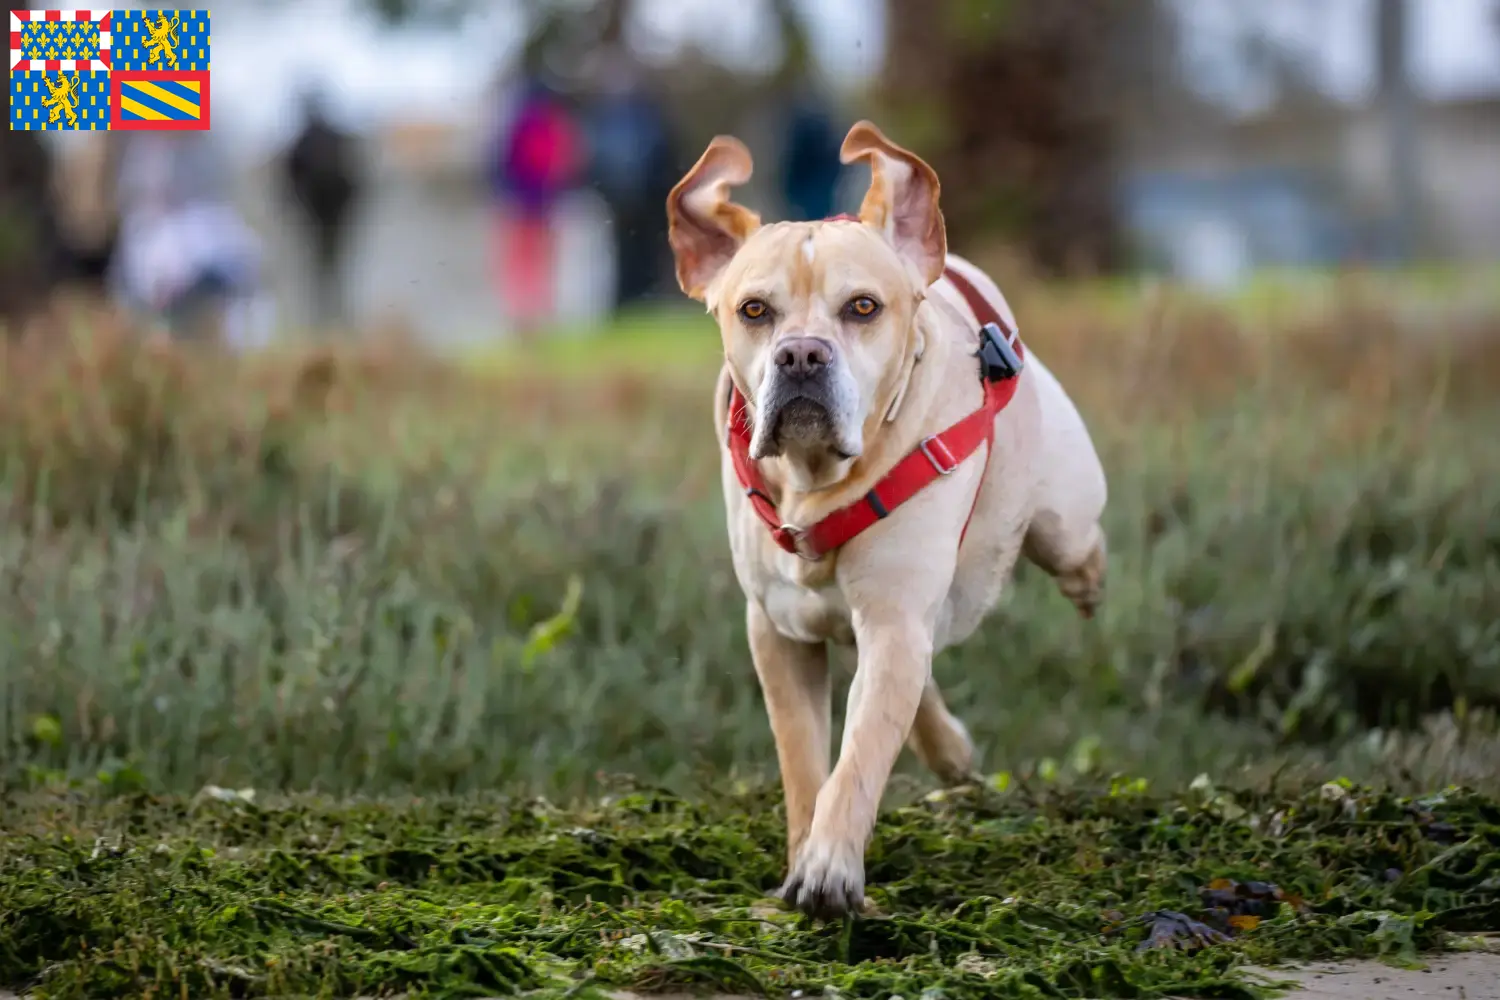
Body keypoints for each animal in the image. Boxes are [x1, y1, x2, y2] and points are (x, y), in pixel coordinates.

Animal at [663, 121, 1110, 917]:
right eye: (754, 310)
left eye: (863, 308)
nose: (801, 355)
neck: (817, 481)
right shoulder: (780, 634)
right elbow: (806, 762)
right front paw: (803, 855)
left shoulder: (894, 617)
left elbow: (861, 752)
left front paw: (830, 869)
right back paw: (949, 748)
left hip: (1061, 517)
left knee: (1075, 548)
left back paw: (1085, 586)